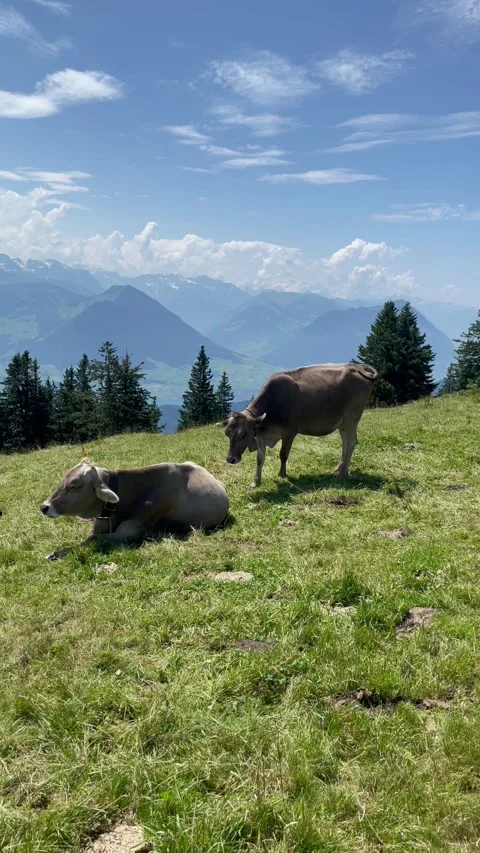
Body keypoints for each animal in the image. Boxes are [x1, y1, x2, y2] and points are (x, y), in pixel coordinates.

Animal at [41, 459, 229, 560]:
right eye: (62, 480)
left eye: (74, 486)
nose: (44, 507)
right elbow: (90, 537)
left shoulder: (133, 530)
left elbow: (94, 538)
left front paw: (58, 553)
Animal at [219, 363, 378, 490]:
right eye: (227, 434)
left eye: (243, 434)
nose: (230, 459)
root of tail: (356, 366)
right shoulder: (260, 435)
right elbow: (260, 459)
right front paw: (255, 482)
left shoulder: (289, 432)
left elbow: (283, 454)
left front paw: (282, 475)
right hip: (343, 422)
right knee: (345, 442)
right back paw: (338, 467)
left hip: (352, 416)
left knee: (351, 442)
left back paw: (343, 472)